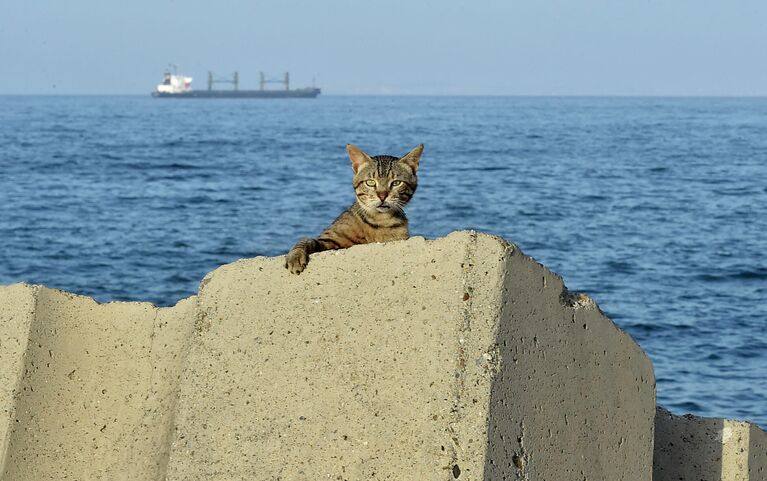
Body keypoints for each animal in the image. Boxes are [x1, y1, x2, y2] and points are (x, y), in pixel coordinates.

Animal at [284, 142, 424, 274]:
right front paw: (296, 255)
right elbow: (307, 240)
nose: (382, 196)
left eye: (396, 183)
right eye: (370, 182)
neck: (380, 220)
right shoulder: (329, 240)